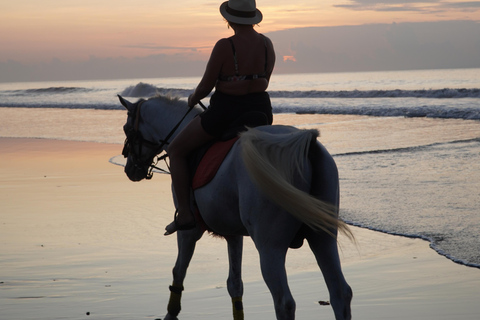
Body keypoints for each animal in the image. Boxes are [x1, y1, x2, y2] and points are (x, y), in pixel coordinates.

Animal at [118, 95, 352, 320]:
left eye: (127, 129)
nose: (130, 170)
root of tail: (304, 144)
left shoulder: (189, 230)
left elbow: (178, 270)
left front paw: (171, 313)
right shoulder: (233, 233)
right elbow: (235, 284)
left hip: (270, 246)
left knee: (284, 302)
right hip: (323, 238)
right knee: (340, 293)